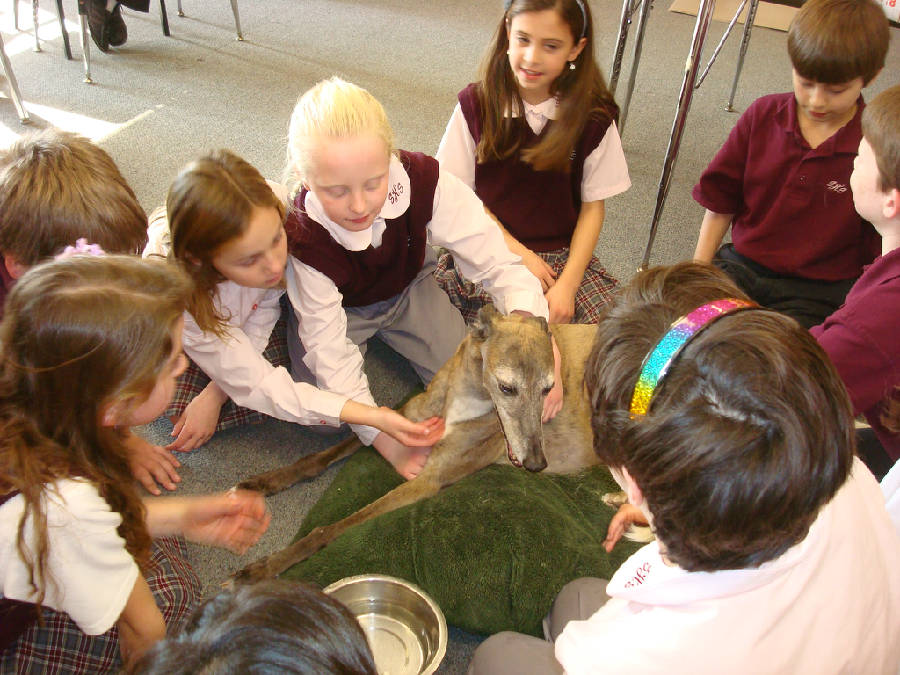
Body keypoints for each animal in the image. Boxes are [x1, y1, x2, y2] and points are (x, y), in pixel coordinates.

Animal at [230, 306, 596, 588]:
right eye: (507, 388)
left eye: (549, 388)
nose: (537, 464)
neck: (463, 398)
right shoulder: (405, 417)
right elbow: (327, 452)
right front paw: (265, 481)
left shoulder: (428, 480)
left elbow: (332, 528)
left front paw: (264, 567)